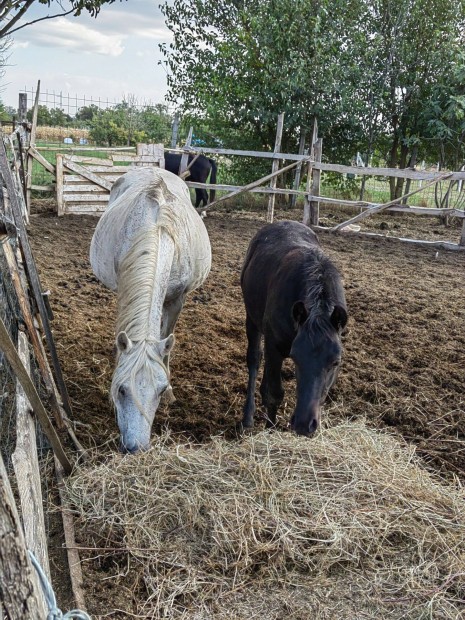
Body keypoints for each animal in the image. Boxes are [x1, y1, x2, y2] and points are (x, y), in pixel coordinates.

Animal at [89, 167, 212, 452]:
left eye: (160, 389)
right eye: (121, 389)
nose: (137, 448)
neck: (156, 231)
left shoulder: (176, 301)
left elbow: (165, 340)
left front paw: (171, 393)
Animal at [241, 220, 346, 434]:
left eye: (335, 362)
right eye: (296, 357)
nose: (305, 424)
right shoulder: (274, 345)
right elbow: (274, 393)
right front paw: (270, 429)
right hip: (252, 319)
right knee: (254, 359)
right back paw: (248, 417)